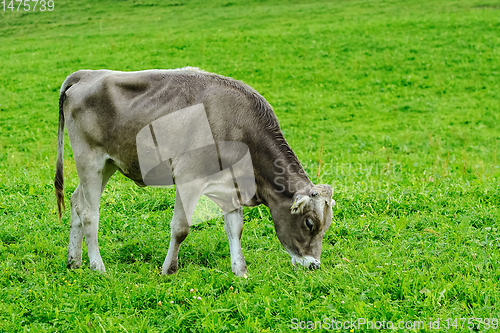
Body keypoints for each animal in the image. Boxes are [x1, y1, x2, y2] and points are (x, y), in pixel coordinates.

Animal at [54, 67, 334, 274]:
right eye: (309, 223)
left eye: (326, 226)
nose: (314, 266)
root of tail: (87, 73)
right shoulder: (188, 177)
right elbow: (181, 228)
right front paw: (168, 269)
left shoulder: (229, 184)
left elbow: (235, 227)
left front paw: (240, 271)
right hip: (89, 159)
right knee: (89, 213)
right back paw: (97, 266)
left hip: (108, 164)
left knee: (76, 201)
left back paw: (74, 261)